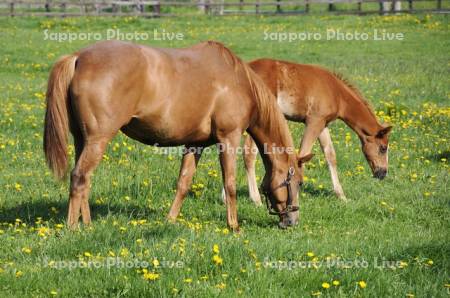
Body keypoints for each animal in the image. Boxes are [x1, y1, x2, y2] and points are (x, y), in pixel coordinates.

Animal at [44, 40, 312, 230]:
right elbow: (230, 184)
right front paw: (234, 226)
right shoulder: (229, 139)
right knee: (79, 177)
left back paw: (87, 224)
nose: (292, 221)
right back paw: (73, 228)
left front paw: (170, 220)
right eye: (298, 182)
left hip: (83, 140)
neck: (238, 81)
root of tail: (78, 58)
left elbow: (184, 183)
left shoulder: (195, 144)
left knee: (84, 179)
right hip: (98, 140)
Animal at [239, 58, 390, 204]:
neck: (337, 93)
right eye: (383, 148)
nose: (383, 173)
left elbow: (330, 155)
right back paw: (256, 200)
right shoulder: (314, 121)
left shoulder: (323, 124)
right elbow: (303, 154)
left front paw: (341, 196)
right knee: (249, 153)